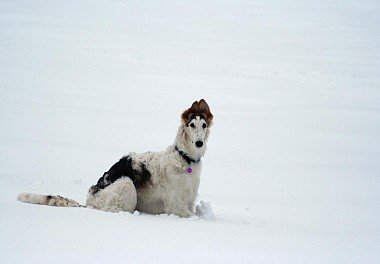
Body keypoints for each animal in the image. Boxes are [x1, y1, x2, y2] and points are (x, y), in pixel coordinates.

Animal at [17, 98, 212, 218]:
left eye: (204, 125)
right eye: (191, 125)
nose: (199, 143)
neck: (184, 159)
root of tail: (89, 200)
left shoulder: (189, 200)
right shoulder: (176, 206)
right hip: (126, 184)